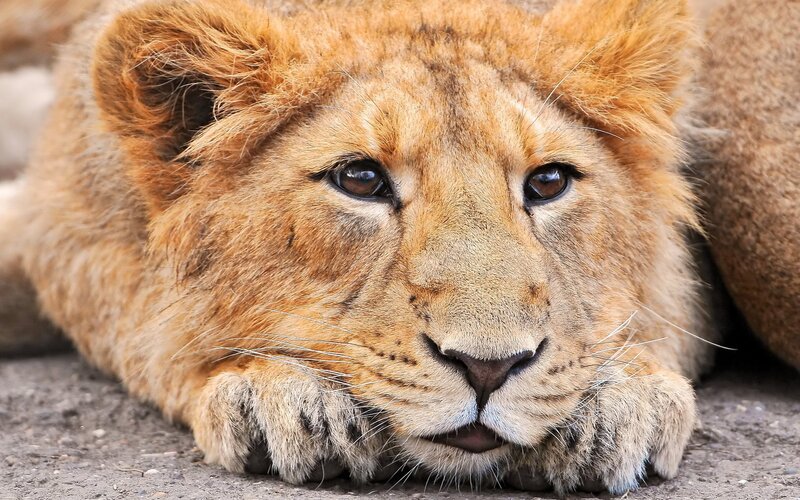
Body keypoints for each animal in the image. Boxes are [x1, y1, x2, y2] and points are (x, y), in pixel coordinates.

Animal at [0, 0, 796, 495]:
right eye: (360, 179)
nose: (487, 368)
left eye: (547, 182)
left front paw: (615, 400)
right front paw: (282, 396)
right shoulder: (65, 225)